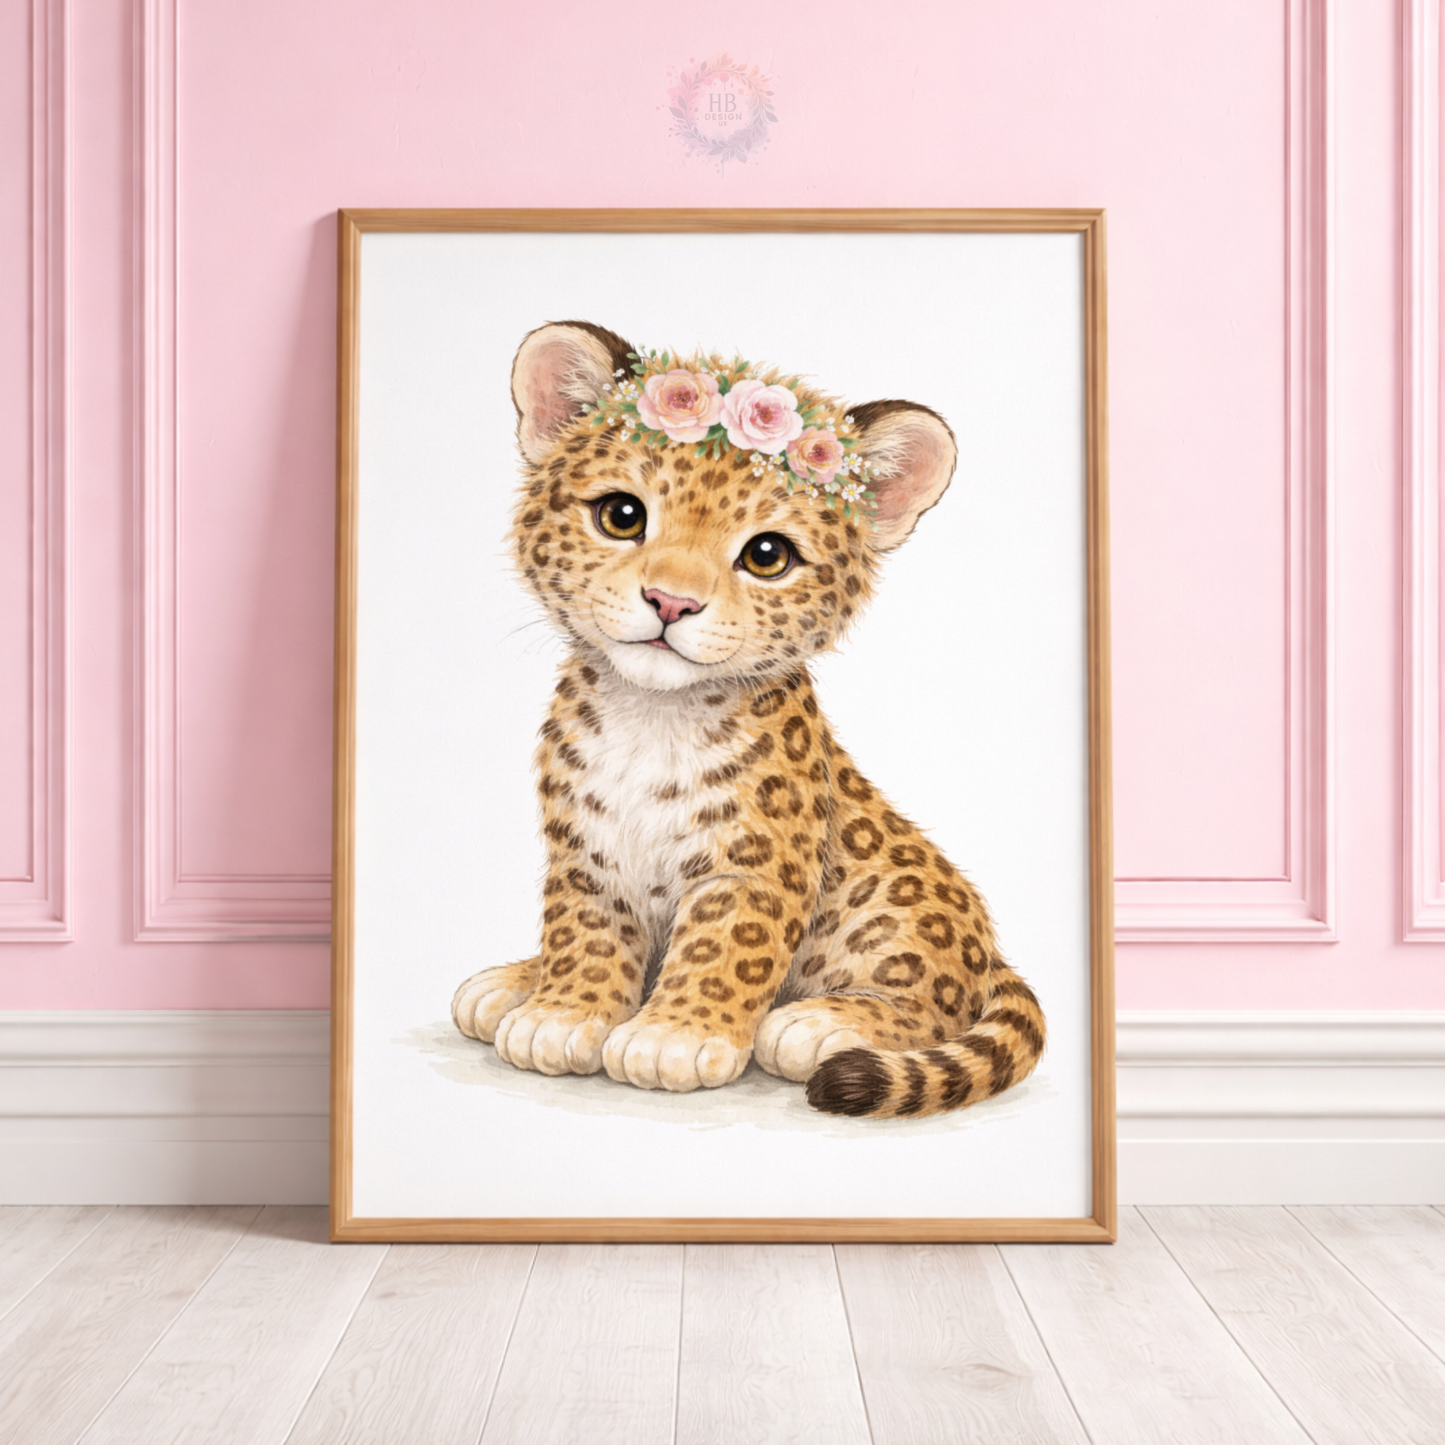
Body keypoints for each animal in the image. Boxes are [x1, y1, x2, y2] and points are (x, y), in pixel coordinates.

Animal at [450, 320, 1046, 1118]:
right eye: (621, 515)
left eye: (767, 555)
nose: (671, 602)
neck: (651, 717)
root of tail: (991, 951)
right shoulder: (586, 851)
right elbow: (585, 928)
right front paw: (562, 1011)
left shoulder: (756, 864)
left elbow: (724, 945)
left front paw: (672, 1036)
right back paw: (511, 980)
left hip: (897, 913)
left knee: (936, 1000)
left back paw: (819, 1022)